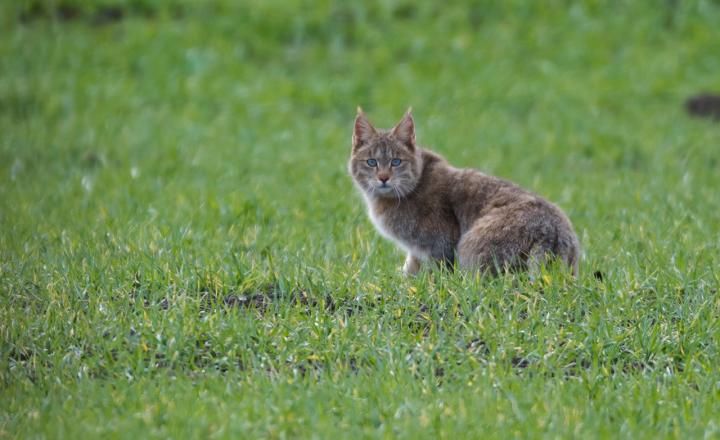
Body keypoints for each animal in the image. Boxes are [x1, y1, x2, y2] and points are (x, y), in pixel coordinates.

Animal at [348, 108, 580, 276]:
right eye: (371, 162)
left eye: (396, 162)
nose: (383, 178)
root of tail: (553, 230)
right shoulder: (418, 250)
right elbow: (412, 267)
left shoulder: (441, 243)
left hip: (469, 246)